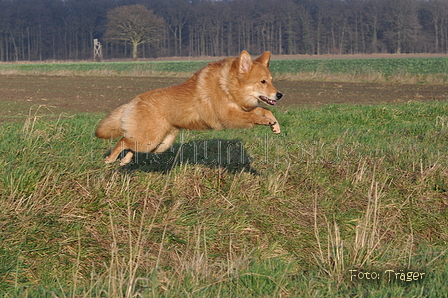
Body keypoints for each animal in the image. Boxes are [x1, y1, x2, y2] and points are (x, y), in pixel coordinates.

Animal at [96, 49, 282, 164]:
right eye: (263, 82)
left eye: (271, 80)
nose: (279, 95)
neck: (227, 86)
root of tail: (134, 101)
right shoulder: (228, 116)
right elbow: (253, 116)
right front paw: (265, 121)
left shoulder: (240, 108)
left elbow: (264, 109)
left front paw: (275, 125)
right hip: (150, 141)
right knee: (123, 140)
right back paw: (111, 159)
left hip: (158, 145)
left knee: (130, 144)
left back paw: (124, 160)